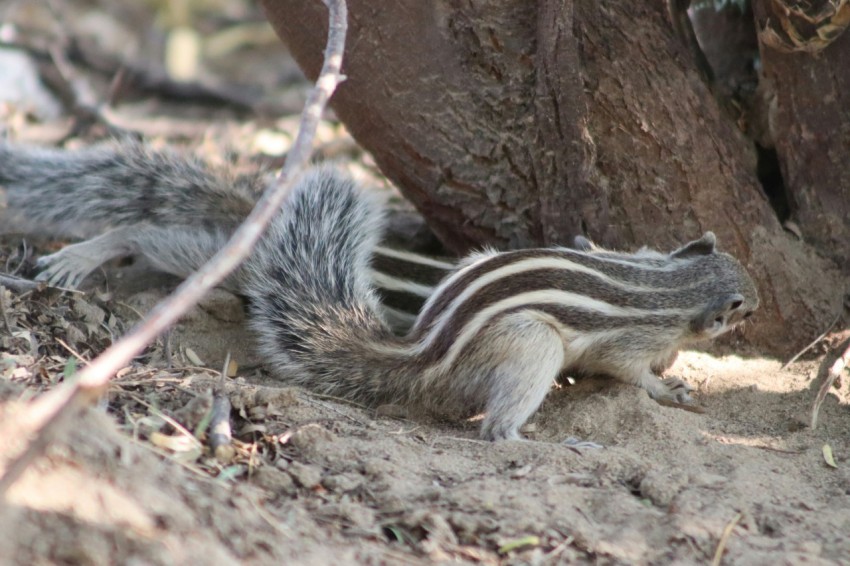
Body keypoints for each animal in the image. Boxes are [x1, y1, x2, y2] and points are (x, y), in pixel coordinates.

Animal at [0, 141, 756, 440]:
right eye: (745, 304)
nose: (760, 300)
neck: (669, 279)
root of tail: (422, 354)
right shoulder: (632, 335)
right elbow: (633, 372)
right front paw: (671, 387)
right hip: (526, 347)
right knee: (151, 235)